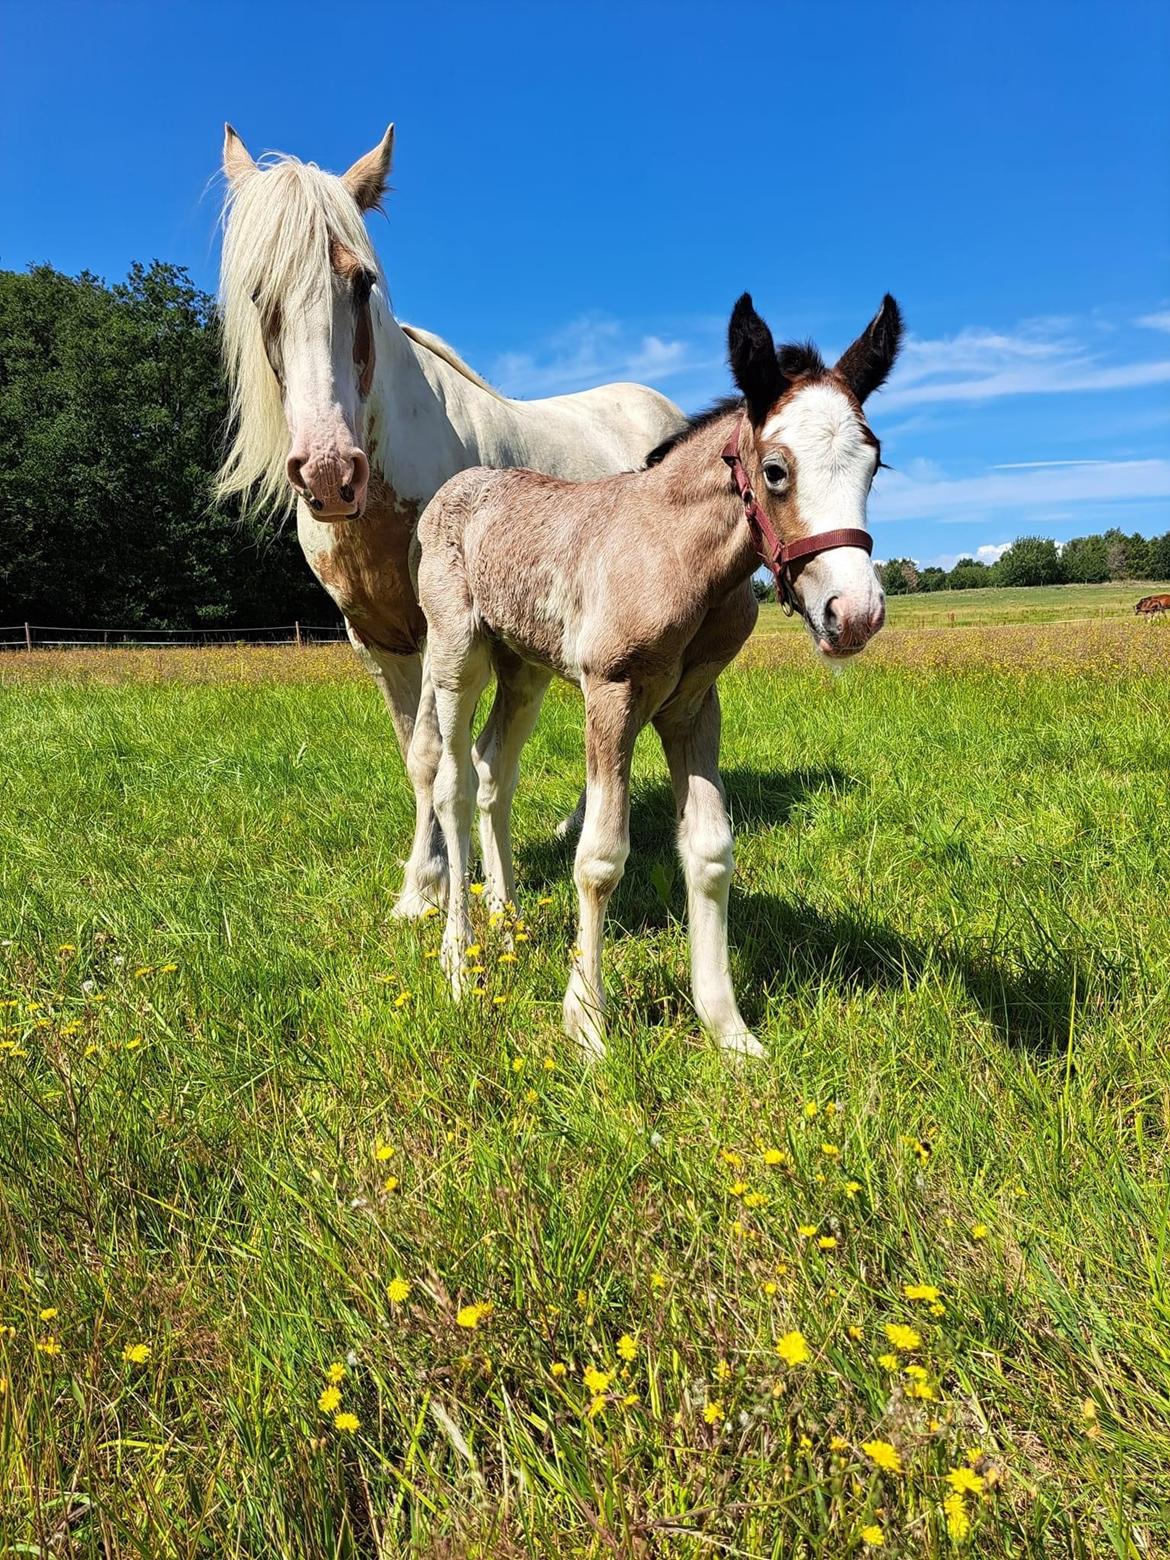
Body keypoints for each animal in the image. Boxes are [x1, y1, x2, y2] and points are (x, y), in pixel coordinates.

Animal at [218, 127, 686, 917]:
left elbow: (446, 760)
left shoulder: (449, 636)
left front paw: (433, 888)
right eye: (260, 295)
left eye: (361, 282)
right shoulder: (380, 642)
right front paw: (424, 888)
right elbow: (421, 759)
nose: (329, 474)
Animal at [414, 290, 904, 1060]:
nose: (853, 613)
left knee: (495, 771)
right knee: (453, 786)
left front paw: (728, 1028)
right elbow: (599, 856)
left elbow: (709, 851)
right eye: (775, 470)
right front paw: (587, 1024)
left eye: (874, 464)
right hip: (457, 653)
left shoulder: (694, 704)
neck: (678, 557)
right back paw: (460, 963)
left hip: (524, 668)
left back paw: (509, 920)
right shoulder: (612, 691)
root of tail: (456, 487)